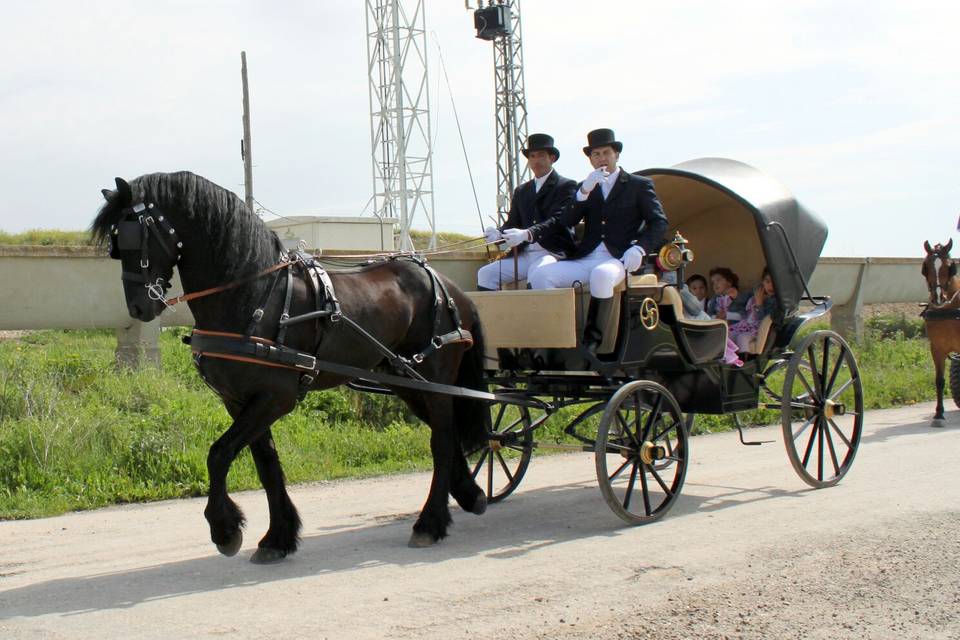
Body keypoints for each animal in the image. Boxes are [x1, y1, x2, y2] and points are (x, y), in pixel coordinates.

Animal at [93, 170, 492, 560]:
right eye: (115, 246)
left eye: (134, 235)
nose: (139, 309)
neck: (253, 295)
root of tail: (449, 286)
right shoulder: (238, 400)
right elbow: (266, 464)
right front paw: (278, 537)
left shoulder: (276, 397)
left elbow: (219, 454)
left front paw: (225, 529)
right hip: (405, 379)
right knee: (446, 431)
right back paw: (469, 494)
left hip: (435, 373)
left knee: (442, 439)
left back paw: (430, 522)